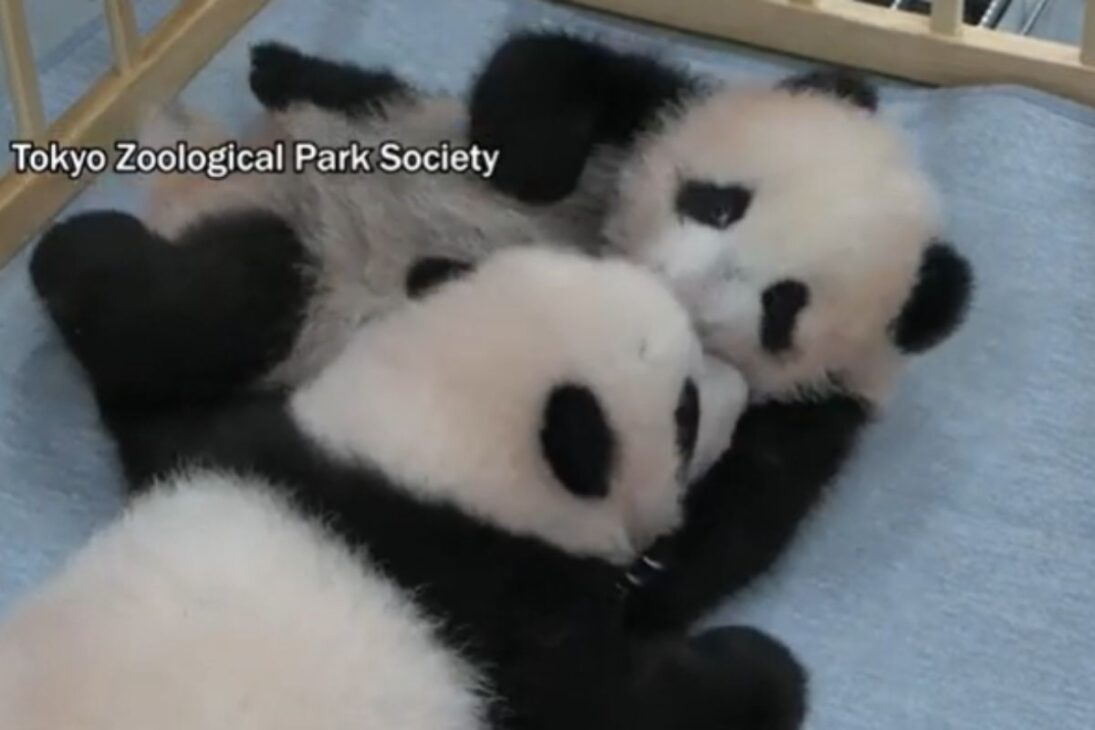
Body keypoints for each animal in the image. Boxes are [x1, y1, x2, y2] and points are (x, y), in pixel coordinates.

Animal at [4, 247, 808, 730]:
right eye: (685, 413)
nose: (741, 390)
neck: (423, 454)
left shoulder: (249, 450)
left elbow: (163, 417)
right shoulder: (493, 616)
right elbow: (613, 705)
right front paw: (769, 667)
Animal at [28, 32, 973, 637]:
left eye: (781, 305)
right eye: (715, 201)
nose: (672, 287)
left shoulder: (818, 412)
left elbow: (749, 511)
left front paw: (651, 577)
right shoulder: (654, 102)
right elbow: (543, 72)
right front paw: (528, 164)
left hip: (271, 303)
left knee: (208, 307)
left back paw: (91, 259)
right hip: (356, 145)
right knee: (348, 103)